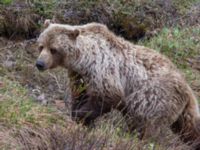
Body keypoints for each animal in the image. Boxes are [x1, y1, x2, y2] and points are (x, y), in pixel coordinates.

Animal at [36, 19, 200, 149]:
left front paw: (81, 116)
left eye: (53, 49)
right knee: (189, 128)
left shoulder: (102, 68)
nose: (39, 63)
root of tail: (187, 87)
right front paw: (79, 117)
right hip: (180, 109)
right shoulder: (79, 76)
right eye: (41, 46)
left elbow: (107, 96)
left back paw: (139, 140)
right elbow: (79, 95)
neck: (82, 60)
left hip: (155, 98)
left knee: (145, 124)